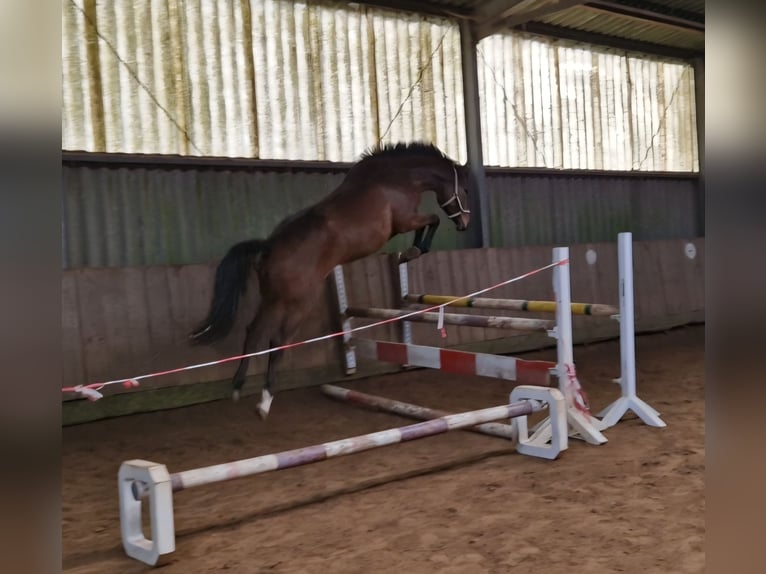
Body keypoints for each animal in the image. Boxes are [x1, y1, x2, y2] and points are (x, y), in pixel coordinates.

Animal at [190, 142, 472, 418]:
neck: (396, 178)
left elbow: (429, 223)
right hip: (298, 303)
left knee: (253, 333)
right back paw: (265, 401)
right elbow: (432, 220)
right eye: (465, 190)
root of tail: (269, 247)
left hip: (272, 300)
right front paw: (412, 252)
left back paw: (237, 388)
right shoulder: (405, 221)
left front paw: (408, 253)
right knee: (277, 340)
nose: (465, 223)